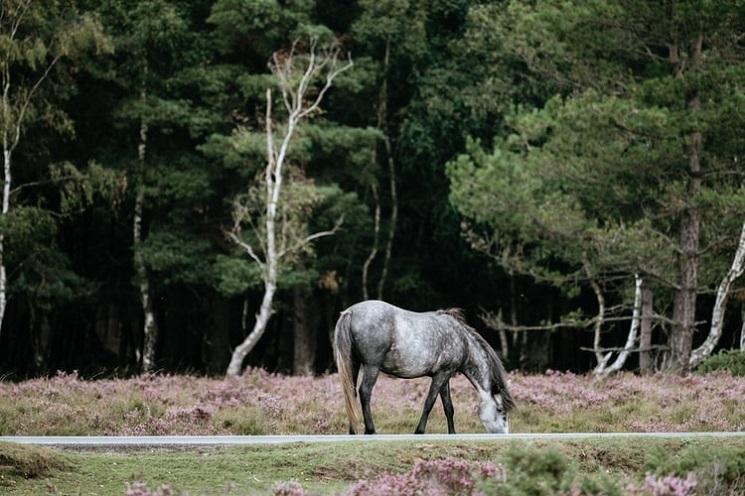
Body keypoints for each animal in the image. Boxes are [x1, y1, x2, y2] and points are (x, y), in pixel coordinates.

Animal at [333, 300, 514, 435]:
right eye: (500, 410)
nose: (504, 434)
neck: (462, 340)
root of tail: (350, 312)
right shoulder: (441, 375)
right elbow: (429, 402)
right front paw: (419, 431)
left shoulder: (444, 376)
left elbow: (448, 407)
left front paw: (452, 433)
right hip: (372, 367)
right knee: (364, 392)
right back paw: (370, 430)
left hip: (353, 364)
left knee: (351, 393)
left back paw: (353, 431)